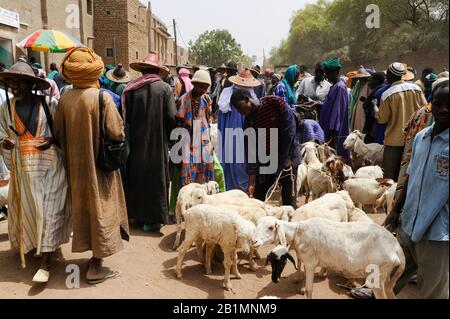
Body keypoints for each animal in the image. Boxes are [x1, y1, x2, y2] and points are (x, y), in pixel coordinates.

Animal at [255, 216, 406, 302]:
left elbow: (309, 290)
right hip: (387, 279)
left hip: (377, 278)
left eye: (270, 227)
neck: (298, 232)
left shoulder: (310, 263)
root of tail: (397, 248)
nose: (254, 241)